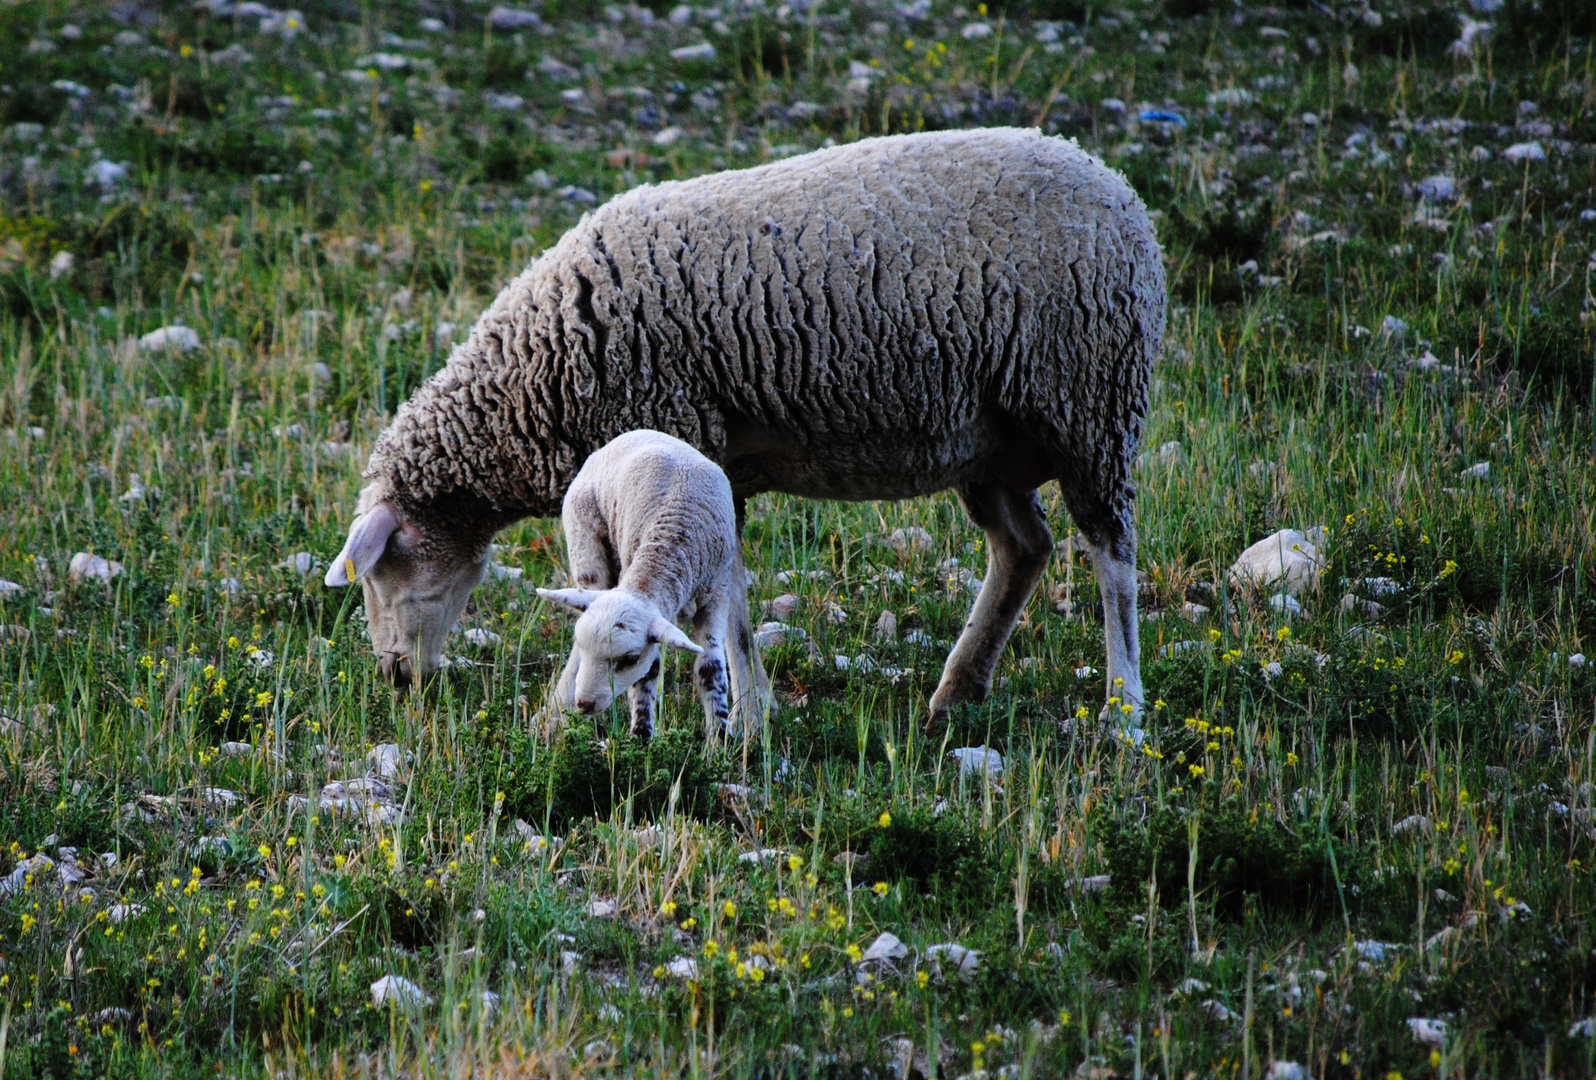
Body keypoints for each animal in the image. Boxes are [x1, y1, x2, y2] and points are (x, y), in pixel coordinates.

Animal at [529, 430, 740, 740]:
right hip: (586, 548)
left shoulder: (717, 596)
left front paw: (721, 741)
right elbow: (649, 673)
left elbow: (710, 670)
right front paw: (641, 737)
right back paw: (554, 717)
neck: (672, 541)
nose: (584, 704)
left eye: (628, 659)